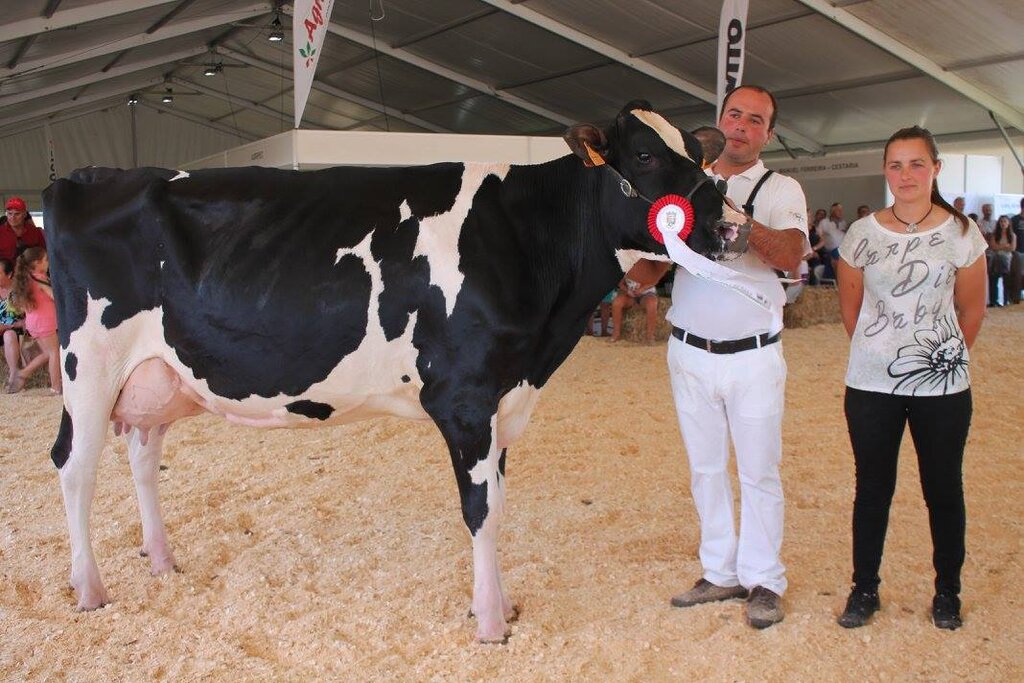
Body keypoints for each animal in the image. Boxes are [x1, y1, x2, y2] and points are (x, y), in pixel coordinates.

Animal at [43, 100, 726, 643]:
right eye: (644, 154)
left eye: (697, 152)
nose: (726, 223)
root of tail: (85, 178)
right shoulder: (466, 398)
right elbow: (482, 510)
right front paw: (489, 623)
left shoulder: (504, 399)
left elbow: (500, 503)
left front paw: (503, 605)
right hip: (89, 367)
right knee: (74, 466)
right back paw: (88, 588)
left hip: (156, 376)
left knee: (142, 454)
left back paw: (161, 559)